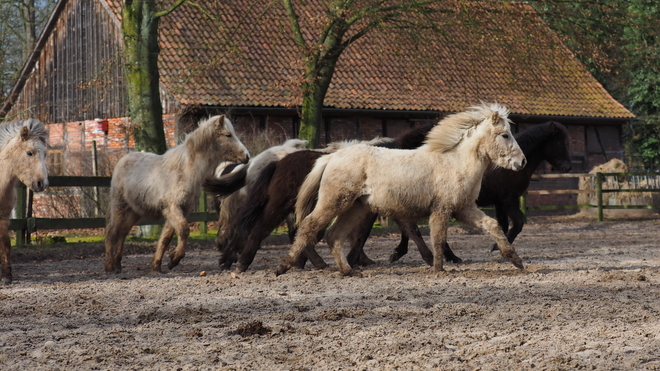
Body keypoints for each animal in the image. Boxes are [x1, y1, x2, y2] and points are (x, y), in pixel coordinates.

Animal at [0, 119, 48, 284]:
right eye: (29, 152)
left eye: (45, 154)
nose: (42, 183)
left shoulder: (4, 218)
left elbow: (5, 243)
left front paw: (7, 276)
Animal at [105, 115, 250, 274]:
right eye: (228, 135)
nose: (247, 156)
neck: (185, 170)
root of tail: (121, 161)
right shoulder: (172, 207)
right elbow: (184, 230)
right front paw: (174, 260)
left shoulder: (179, 209)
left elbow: (166, 238)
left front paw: (157, 266)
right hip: (120, 206)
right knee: (112, 232)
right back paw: (110, 266)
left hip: (134, 211)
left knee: (122, 233)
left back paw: (117, 265)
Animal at [276, 103, 528, 278]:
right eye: (505, 135)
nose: (522, 162)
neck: (454, 162)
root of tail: (331, 157)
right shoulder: (442, 210)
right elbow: (438, 239)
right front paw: (438, 269)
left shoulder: (463, 209)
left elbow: (492, 225)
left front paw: (516, 260)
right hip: (334, 202)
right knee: (309, 226)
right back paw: (283, 266)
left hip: (355, 208)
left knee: (334, 236)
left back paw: (348, 271)